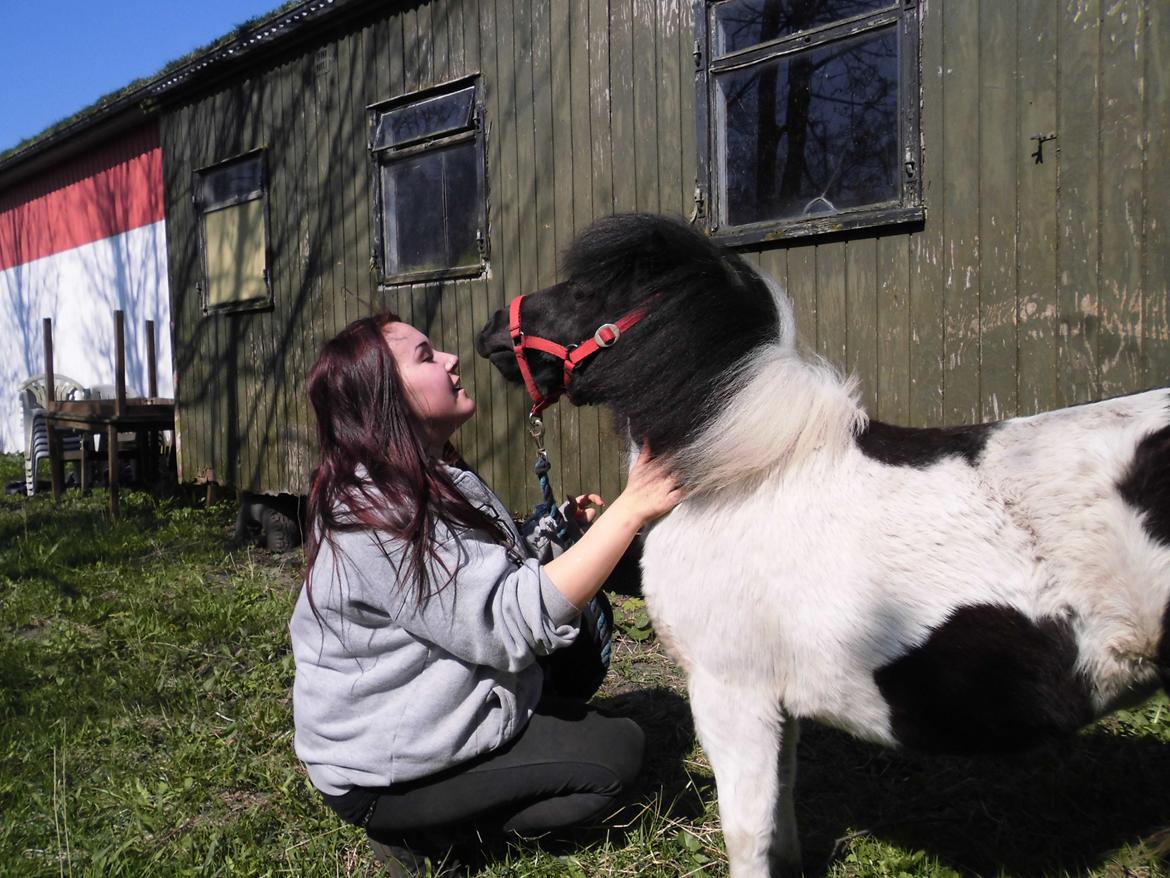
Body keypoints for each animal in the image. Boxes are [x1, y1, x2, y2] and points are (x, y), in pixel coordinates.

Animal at [472, 213, 1170, 878]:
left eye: (585, 290)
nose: (492, 332)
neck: (739, 475)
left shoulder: (732, 696)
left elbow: (748, 832)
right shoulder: (777, 706)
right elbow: (781, 809)